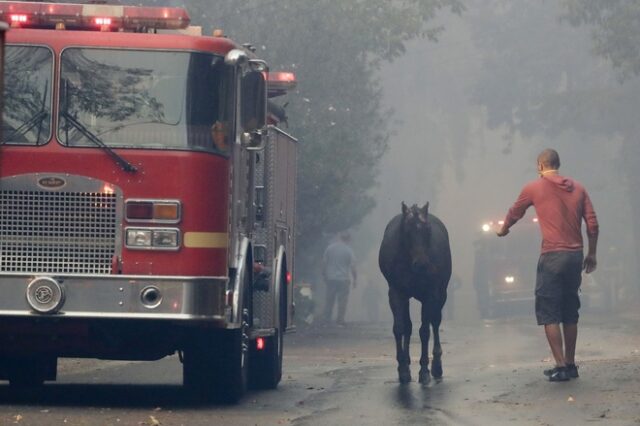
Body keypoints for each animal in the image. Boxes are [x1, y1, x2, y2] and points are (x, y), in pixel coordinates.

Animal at [378, 201, 452, 384]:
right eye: (407, 231)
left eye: (428, 231)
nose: (422, 264)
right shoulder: (396, 292)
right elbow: (400, 327)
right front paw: (403, 368)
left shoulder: (430, 293)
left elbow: (425, 331)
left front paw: (424, 370)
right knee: (408, 325)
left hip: (442, 292)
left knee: (435, 321)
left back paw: (436, 365)